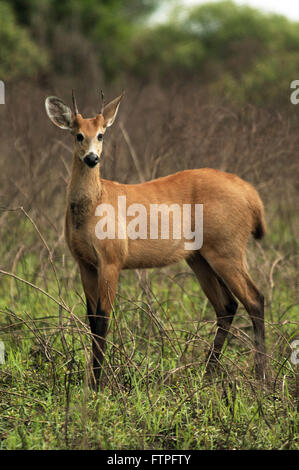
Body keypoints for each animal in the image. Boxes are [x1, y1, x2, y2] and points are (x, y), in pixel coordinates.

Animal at [44, 91, 268, 390]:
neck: (94, 207)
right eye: (78, 135)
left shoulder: (112, 258)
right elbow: (91, 319)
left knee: (255, 299)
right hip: (199, 256)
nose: (92, 158)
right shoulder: (84, 262)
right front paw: (92, 381)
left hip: (227, 248)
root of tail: (252, 196)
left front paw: (98, 385)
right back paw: (208, 374)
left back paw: (262, 378)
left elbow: (103, 319)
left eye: (101, 134)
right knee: (227, 305)